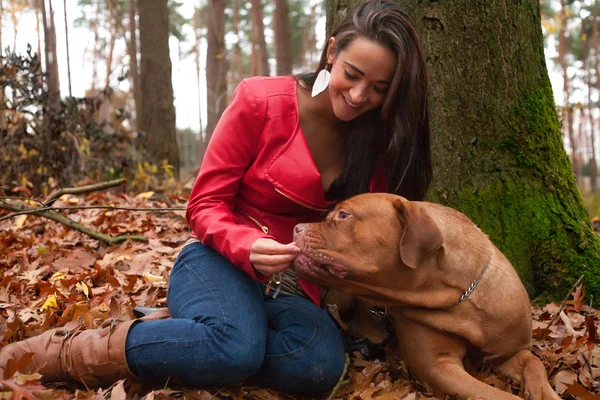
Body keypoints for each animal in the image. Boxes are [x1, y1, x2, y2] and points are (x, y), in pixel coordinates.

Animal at [292, 192, 560, 398]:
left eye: (343, 215)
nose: (296, 228)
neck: (458, 299)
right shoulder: (439, 367)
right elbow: (498, 396)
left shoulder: (510, 353)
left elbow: (535, 364)